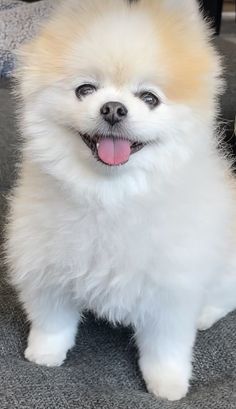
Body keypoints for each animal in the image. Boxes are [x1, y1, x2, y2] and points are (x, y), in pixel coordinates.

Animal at [5, 0, 236, 402]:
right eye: (85, 89)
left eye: (149, 98)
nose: (113, 108)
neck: (109, 197)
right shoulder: (46, 264)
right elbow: (52, 320)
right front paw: (44, 354)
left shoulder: (171, 288)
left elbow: (166, 346)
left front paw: (168, 384)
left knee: (224, 296)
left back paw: (205, 314)